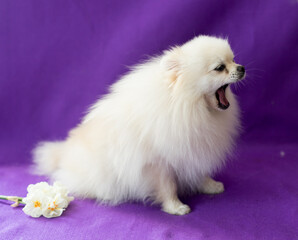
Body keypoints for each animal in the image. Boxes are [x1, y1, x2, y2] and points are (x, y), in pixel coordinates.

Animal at [33, 36, 246, 216]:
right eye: (219, 67)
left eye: (233, 60)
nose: (242, 67)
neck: (185, 104)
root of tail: (64, 153)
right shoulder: (159, 162)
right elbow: (168, 186)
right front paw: (175, 207)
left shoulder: (194, 148)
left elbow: (200, 173)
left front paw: (210, 186)